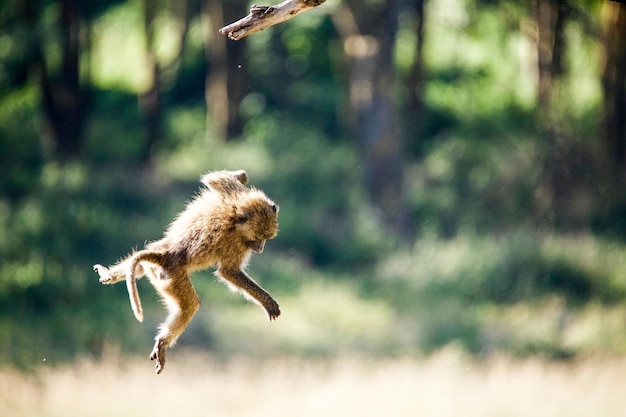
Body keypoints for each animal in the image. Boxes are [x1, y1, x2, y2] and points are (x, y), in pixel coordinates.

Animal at [91, 169, 280, 374]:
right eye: (258, 238)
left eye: (265, 238)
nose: (260, 249)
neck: (235, 215)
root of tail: (165, 256)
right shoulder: (236, 243)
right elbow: (229, 272)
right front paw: (268, 302)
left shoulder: (232, 193)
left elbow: (215, 179)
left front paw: (241, 176)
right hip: (172, 275)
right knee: (189, 305)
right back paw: (162, 343)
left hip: (157, 262)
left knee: (147, 256)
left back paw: (109, 275)